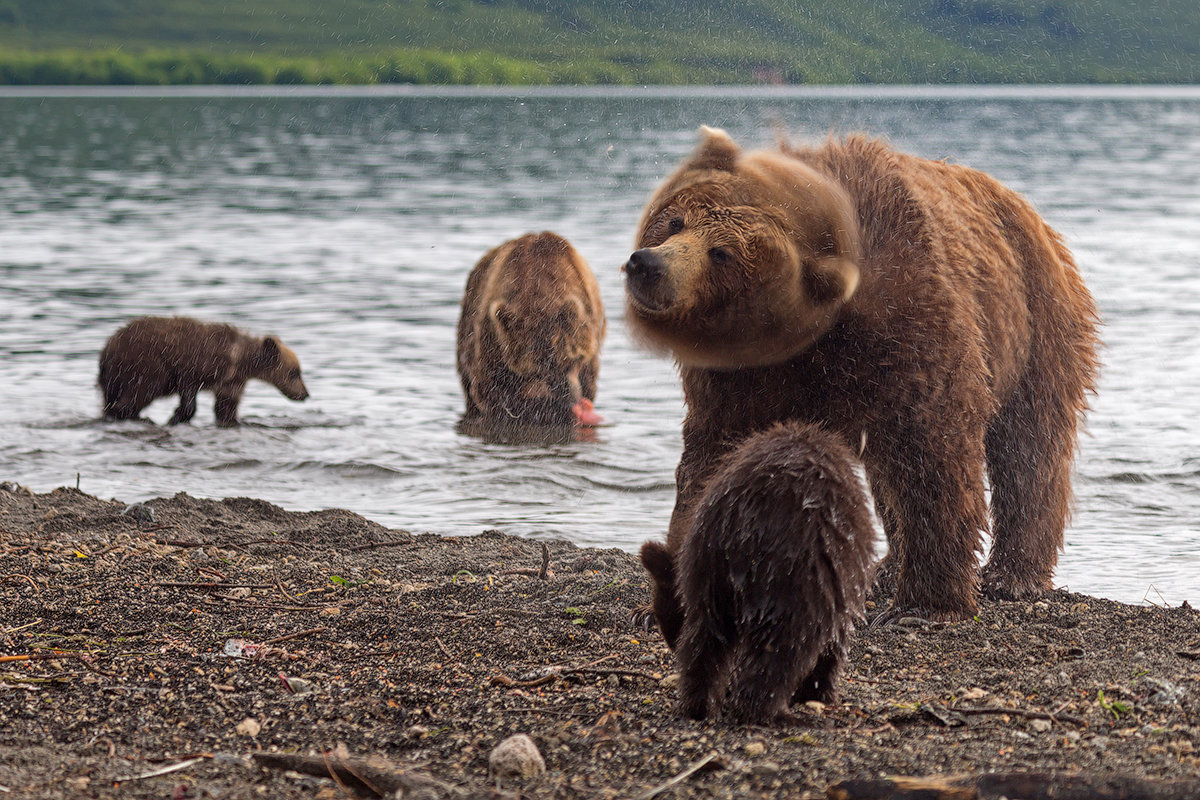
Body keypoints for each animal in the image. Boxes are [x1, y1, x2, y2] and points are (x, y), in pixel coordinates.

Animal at [99, 314, 309, 424]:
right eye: (294, 373)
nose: (305, 394)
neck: (238, 360)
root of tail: (108, 346)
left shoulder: (231, 381)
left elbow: (226, 406)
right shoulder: (193, 366)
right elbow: (189, 397)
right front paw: (177, 416)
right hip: (143, 363)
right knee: (141, 391)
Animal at [633, 126, 1099, 638]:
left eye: (722, 253)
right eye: (675, 222)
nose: (647, 265)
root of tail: (1029, 212)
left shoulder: (910, 316)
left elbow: (934, 453)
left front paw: (924, 605)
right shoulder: (741, 379)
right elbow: (711, 454)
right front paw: (666, 597)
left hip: (1035, 320)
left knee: (1029, 450)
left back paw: (1013, 575)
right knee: (887, 470)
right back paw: (886, 569)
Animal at [676, 422, 873, 724]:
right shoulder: (843, 571)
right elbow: (836, 636)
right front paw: (820, 691)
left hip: (707, 559)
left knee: (705, 634)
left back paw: (700, 704)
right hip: (800, 568)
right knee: (786, 645)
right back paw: (772, 711)